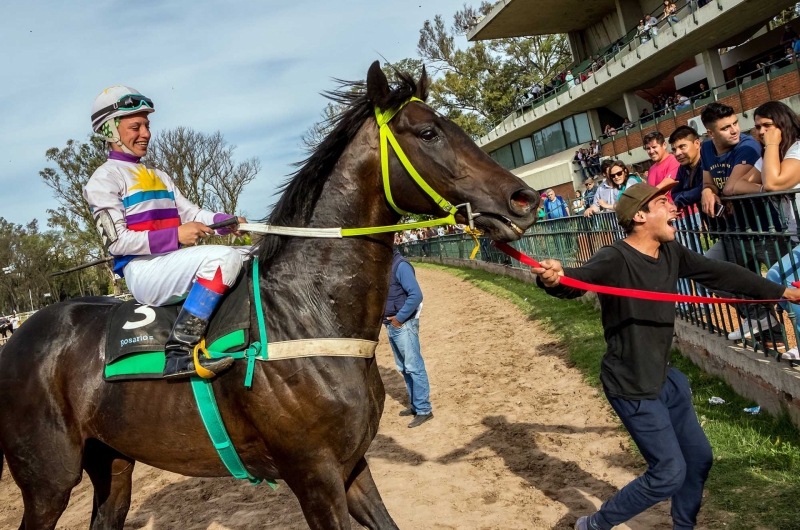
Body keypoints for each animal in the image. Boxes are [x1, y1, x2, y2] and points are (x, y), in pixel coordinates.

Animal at [0, 63, 540, 528]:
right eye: (428, 133)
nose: (524, 199)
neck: (307, 313)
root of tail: (18, 338)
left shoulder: (351, 465)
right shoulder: (313, 476)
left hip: (113, 464)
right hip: (48, 481)